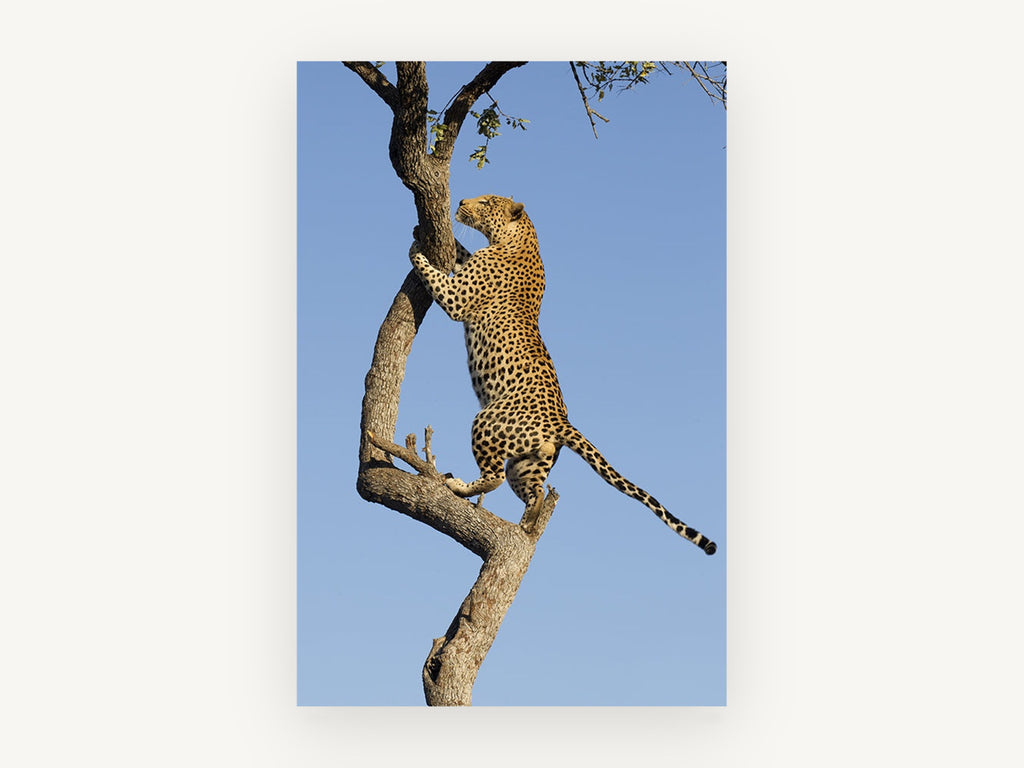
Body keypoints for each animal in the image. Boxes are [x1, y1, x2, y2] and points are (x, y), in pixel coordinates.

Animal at [408, 194, 716, 555]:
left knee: (494, 476)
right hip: (526, 462)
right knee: (536, 491)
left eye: (485, 203)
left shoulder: (458, 298)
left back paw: (459, 487)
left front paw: (416, 248)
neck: (517, 240)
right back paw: (527, 523)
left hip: (488, 423)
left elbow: (434, 275)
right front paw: (423, 233)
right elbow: (461, 252)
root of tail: (562, 422)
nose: (460, 201)